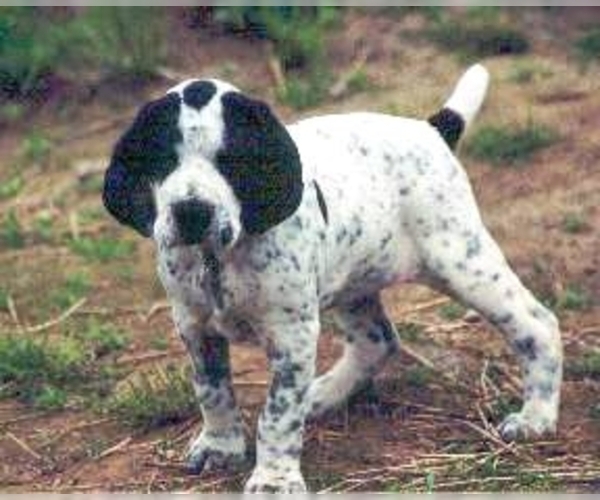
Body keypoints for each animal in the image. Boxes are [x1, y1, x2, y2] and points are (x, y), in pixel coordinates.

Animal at [102, 63, 564, 492]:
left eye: (232, 161)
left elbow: (277, 414)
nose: (191, 212)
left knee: (538, 323)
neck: (219, 259)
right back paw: (322, 393)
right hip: (353, 281)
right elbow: (211, 391)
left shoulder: (291, 335)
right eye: (163, 161)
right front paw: (221, 446)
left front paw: (274, 480)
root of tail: (431, 129)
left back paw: (536, 417)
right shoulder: (194, 326)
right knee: (376, 341)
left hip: (461, 262)